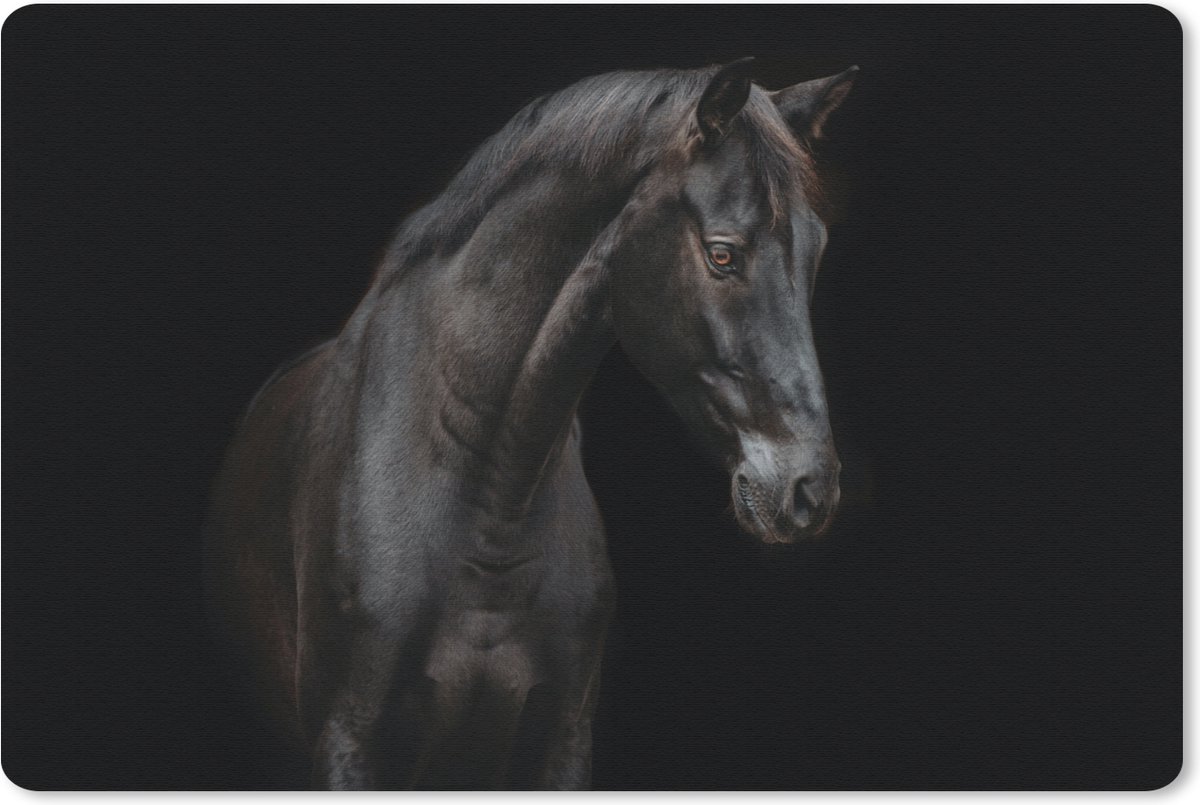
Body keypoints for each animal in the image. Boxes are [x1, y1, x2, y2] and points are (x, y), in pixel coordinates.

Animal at [203, 58, 856, 789]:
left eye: (816, 249)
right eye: (723, 254)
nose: (808, 489)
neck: (488, 499)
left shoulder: (562, 736)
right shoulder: (349, 740)